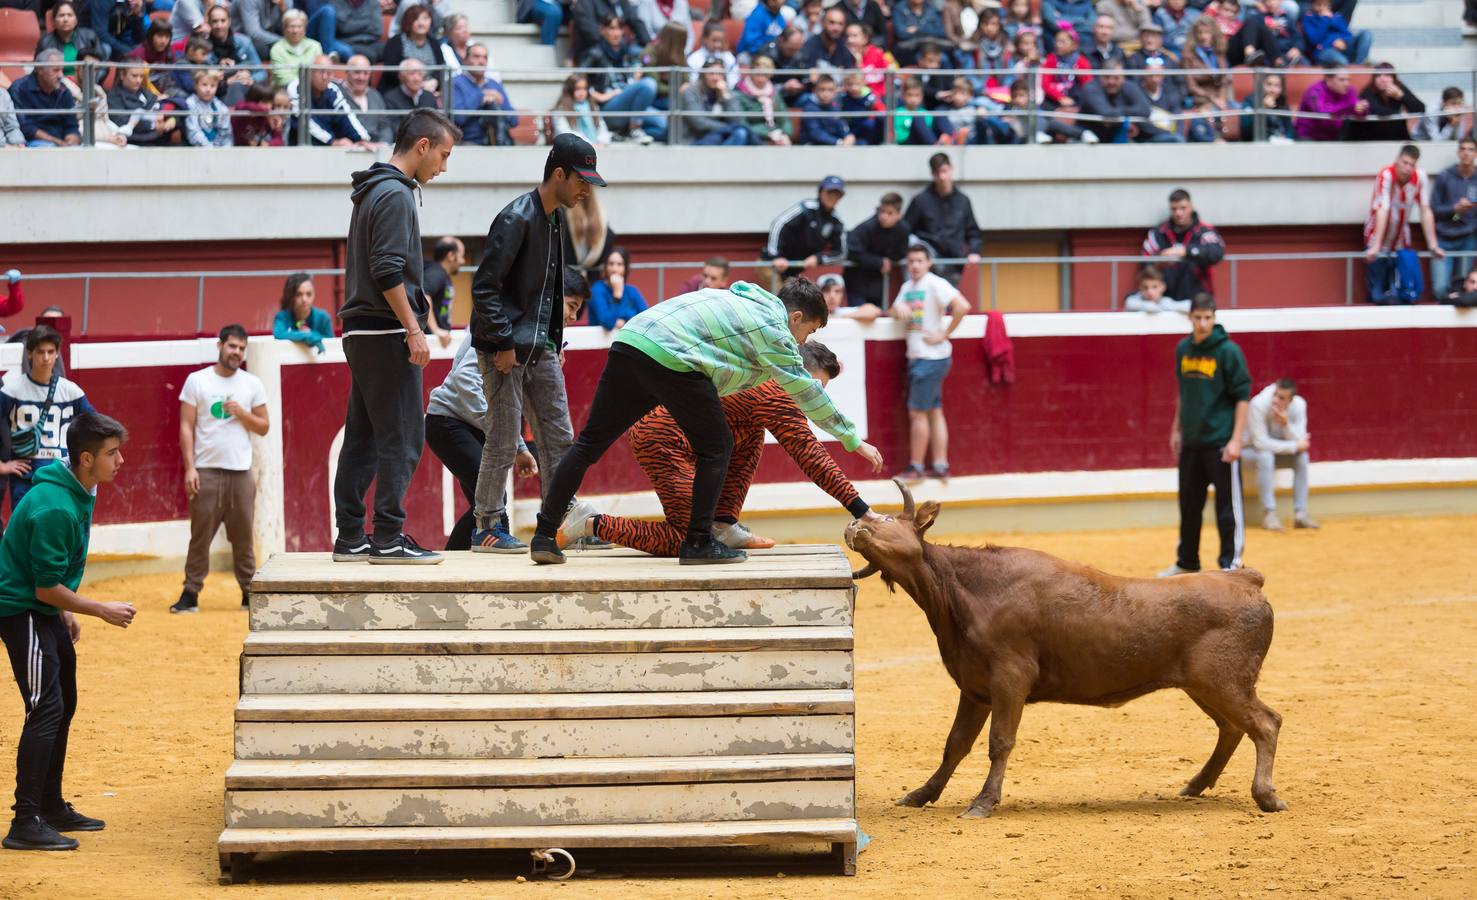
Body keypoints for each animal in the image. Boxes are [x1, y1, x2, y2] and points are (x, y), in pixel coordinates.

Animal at [850, 481, 1287, 815]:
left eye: (886, 519)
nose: (854, 524)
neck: (962, 589)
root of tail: (1246, 580)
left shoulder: (1009, 680)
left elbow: (999, 742)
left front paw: (984, 801)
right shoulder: (974, 689)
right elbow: (954, 744)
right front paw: (922, 794)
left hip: (1225, 683)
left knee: (1265, 723)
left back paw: (1265, 796)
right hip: (1203, 686)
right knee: (1232, 728)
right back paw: (1196, 785)